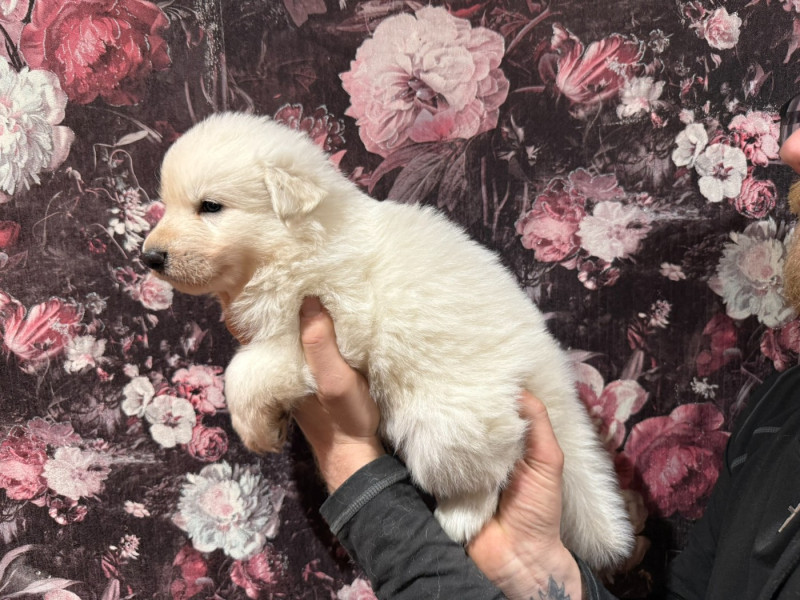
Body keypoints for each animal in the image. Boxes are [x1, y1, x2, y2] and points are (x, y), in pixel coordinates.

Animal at [141, 112, 634, 569]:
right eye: (167, 205)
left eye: (210, 206)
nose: (149, 257)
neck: (297, 244)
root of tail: (544, 366)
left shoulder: (329, 328)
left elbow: (244, 370)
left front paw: (255, 429)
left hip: (445, 427)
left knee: (494, 468)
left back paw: (459, 518)